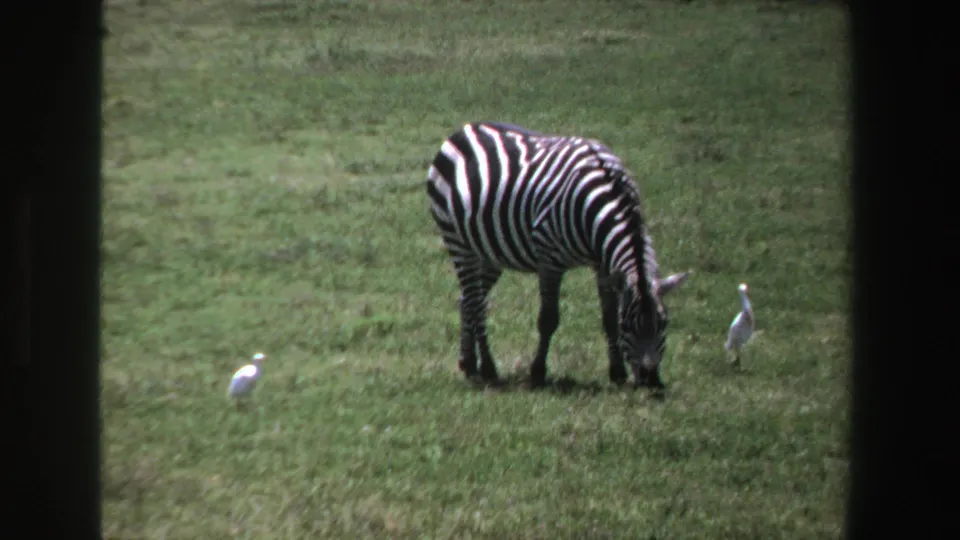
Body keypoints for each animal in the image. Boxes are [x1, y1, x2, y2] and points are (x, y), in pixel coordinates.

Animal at [426, 121, 690, 389]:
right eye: (628, 325)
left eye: (664, 323)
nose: (651, 380)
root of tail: (465, 128)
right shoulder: (549, 260)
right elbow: (548, 319)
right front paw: (537, 372)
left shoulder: (602, 265)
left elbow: (607, 318)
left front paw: (617, 373)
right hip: (458, 242)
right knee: (476, 304)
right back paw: (488, 368)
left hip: (489, 252)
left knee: (467, 299)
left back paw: (468, 363)